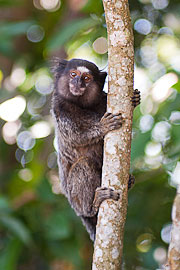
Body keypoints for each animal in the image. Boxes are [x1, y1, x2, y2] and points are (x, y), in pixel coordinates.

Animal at [51, 58, 141, 240]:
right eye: (73, 74)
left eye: (86, 78)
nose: (77, 83)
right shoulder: (59, 108)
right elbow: (75, 135)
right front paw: (103, 126)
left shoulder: (104, 99)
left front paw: (135, 100)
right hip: (75, 201)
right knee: (84, 164)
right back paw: (93, 205)